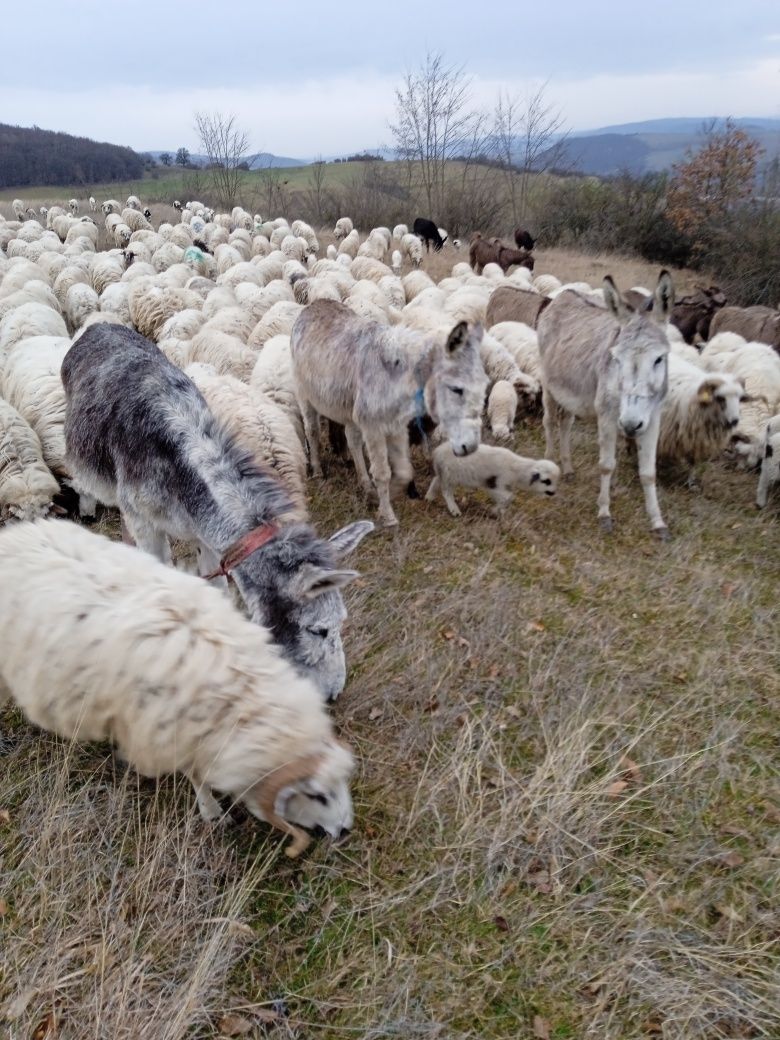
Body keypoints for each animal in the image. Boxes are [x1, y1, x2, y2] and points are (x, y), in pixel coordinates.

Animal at [0, 515, 357, 856]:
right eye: (318, 796)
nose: (345, 831)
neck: (241, 691)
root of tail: (12, 536)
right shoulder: (172, 728)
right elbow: (196, 773)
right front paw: (212, 812)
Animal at [62, 324, 374, 698]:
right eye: (318, 630)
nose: (333, 694)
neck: (179, 466)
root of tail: (98, 326)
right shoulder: (147, 524)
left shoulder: (207, 534)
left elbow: (219, 591)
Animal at [293, 301, 488, 528]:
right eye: (457, 389)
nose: (470, 447)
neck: (400, 378)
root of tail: (315, 304)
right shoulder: (374, 427)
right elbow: (382, 472)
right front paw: (387, 515)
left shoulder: (397, 426)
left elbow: (404, 471)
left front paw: (384, 496)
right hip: (306, 397)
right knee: (312, 431)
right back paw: (316, 470)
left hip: (349, 412)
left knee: (353, 441)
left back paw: (365, 484)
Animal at [428, 443, 561, 515]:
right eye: (547, 481)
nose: (553, 492)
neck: (516, 468)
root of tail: (437, 451)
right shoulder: (494, 484)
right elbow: (509, 497)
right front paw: (495, 510)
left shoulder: (504, 486)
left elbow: (506, 498)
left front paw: (501, 511)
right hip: (450, 474)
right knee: (446, 492)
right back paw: (454, 510)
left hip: (444, 473)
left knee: (436, 481)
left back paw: (429, 497)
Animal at [540, 272, 673, 536]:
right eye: (616, 359)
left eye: (659, 359)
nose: (630, 425)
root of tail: (564, 294)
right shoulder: (607, 416)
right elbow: (606, 465)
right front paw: (604, 513)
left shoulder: (653, 419)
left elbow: (648, 473)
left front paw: (657, 521)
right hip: (548, 385)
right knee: (549, 421)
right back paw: (550, 462)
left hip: (571, 393)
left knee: (565, 423)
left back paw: (568, 468)